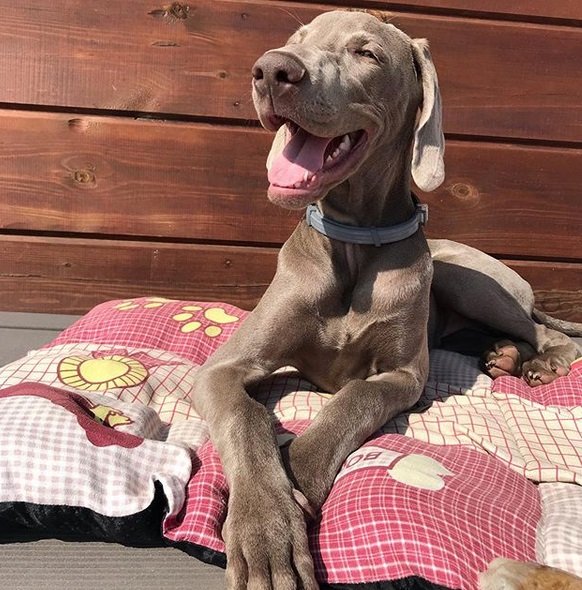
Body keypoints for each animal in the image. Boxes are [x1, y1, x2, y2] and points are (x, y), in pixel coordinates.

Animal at [190, 9, 580, 590]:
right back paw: (504, 357)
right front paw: (265, 530)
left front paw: (298, 475)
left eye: (366, 53)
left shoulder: (405, 376)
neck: (354, 241)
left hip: (466, 279)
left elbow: (354, 399)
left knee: (546, 329)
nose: (272, 70)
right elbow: (245, 417)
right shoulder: (222, 368)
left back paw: (541, 362)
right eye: (295, 40)